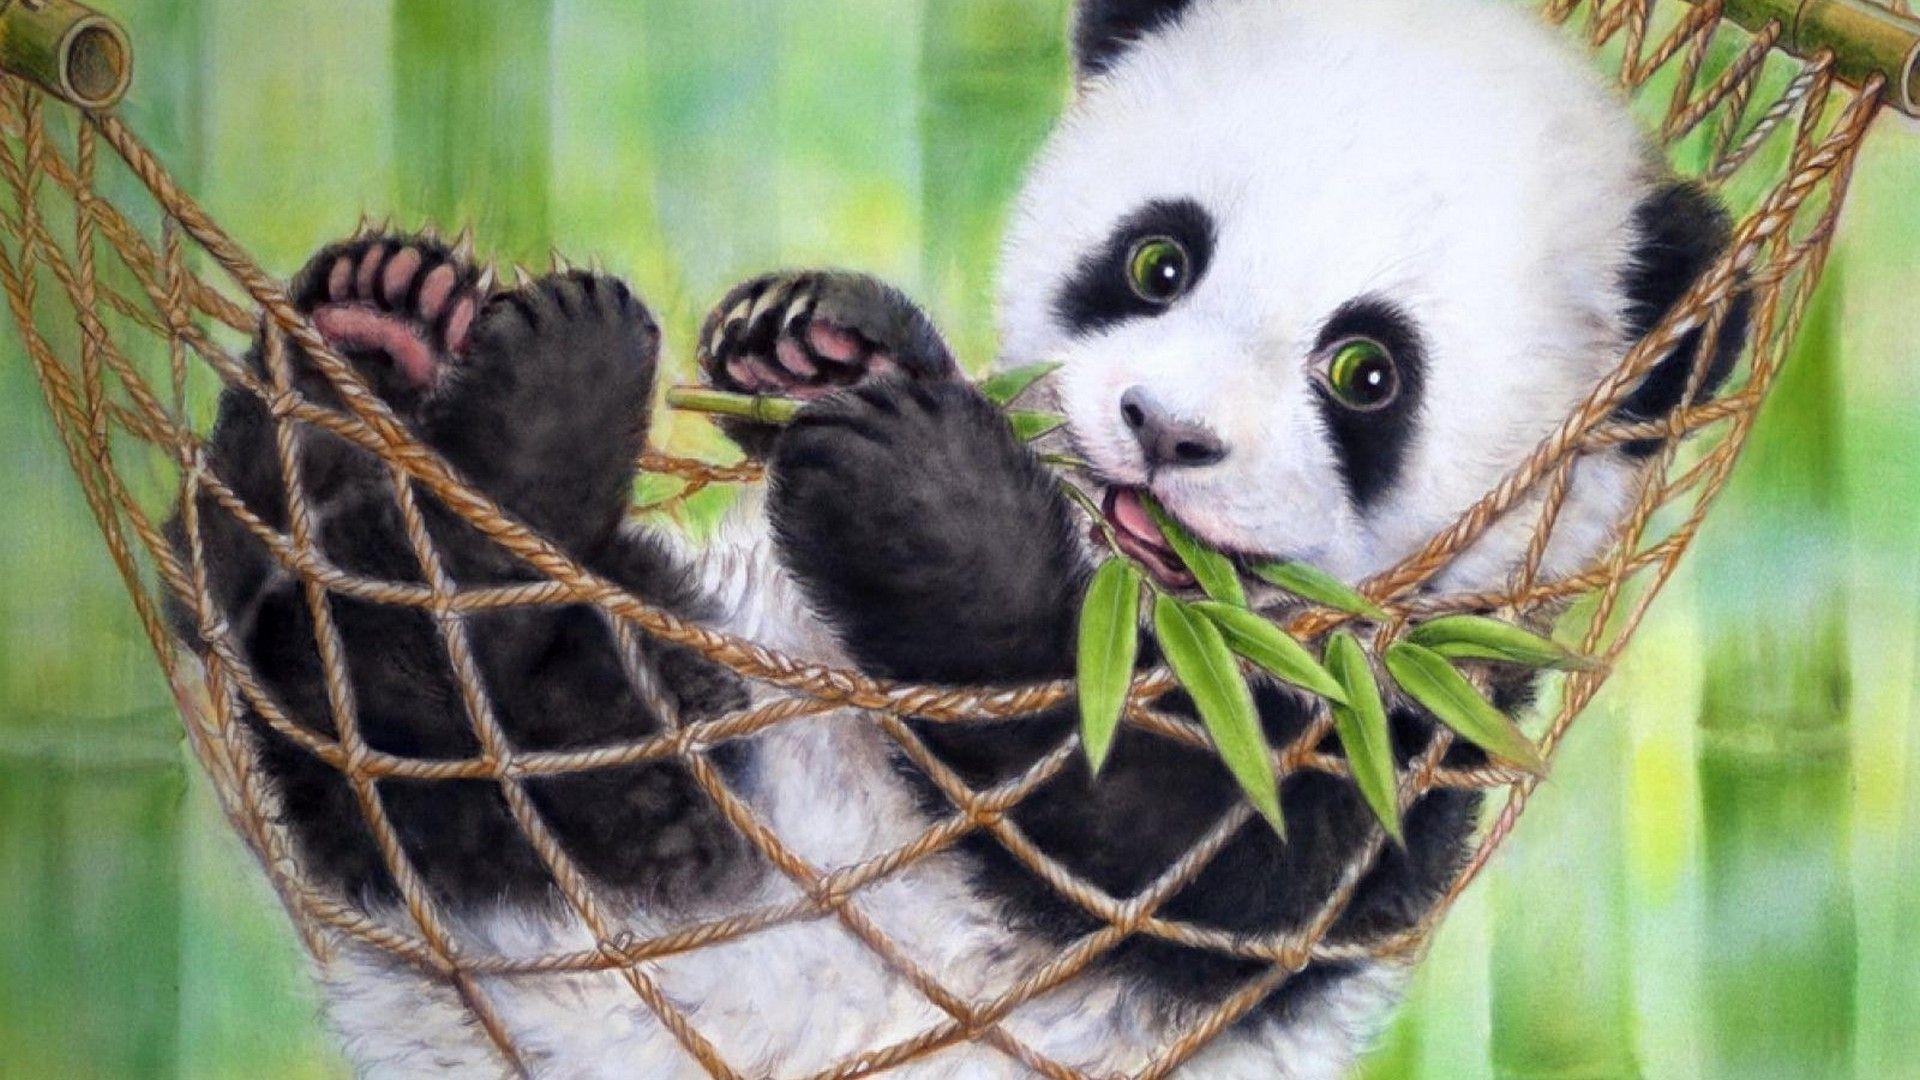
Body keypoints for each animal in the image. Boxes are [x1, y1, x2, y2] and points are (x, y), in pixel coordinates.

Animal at [173, 0, 1744, 1076]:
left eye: (1367, 371)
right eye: (1157, 260)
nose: (1164, 434)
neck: (1147, 598)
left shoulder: (1395, 740)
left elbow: (1152, 842)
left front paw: (921, 499)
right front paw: (820, 339)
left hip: (652, 827)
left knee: (448, 706)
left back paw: (525, 423)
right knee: (256, 609)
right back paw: (372, 339)